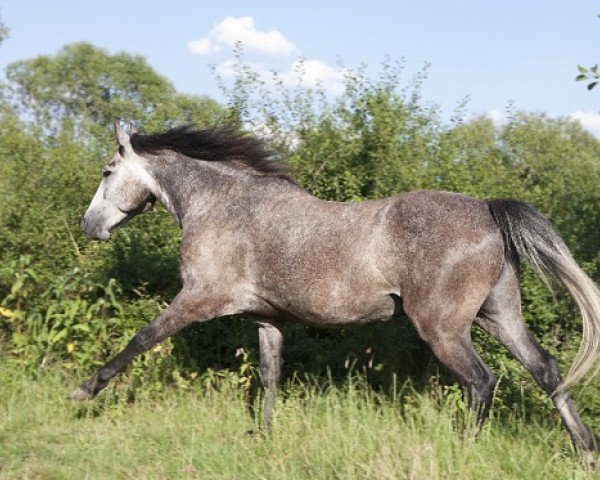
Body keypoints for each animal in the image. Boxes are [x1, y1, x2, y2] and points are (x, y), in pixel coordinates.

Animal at [71, 123, 600, 458]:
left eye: (106, 171)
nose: (88, 226)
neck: (221, 205)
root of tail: (488, 210)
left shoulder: (198, 299)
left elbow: (141, 339)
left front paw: (83, 391)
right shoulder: (267, 318)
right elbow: (270, 376)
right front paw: (264, 437)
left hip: (444, 328)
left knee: (482, 381)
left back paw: (467, 450)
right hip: (498, 314)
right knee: (547, 370)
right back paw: (585, 451)